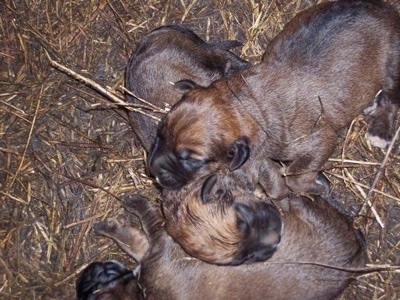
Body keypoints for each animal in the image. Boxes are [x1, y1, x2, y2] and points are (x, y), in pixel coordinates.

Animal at [149, 0, 400, 199]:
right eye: (160, 132)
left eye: (193, 160)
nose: (153, 171)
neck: (245, 103)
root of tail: (387, 9)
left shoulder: (320, 141)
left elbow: (295, 177)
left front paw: (314, 187)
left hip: (392, 63)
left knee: (392, 97)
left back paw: (380, 130)